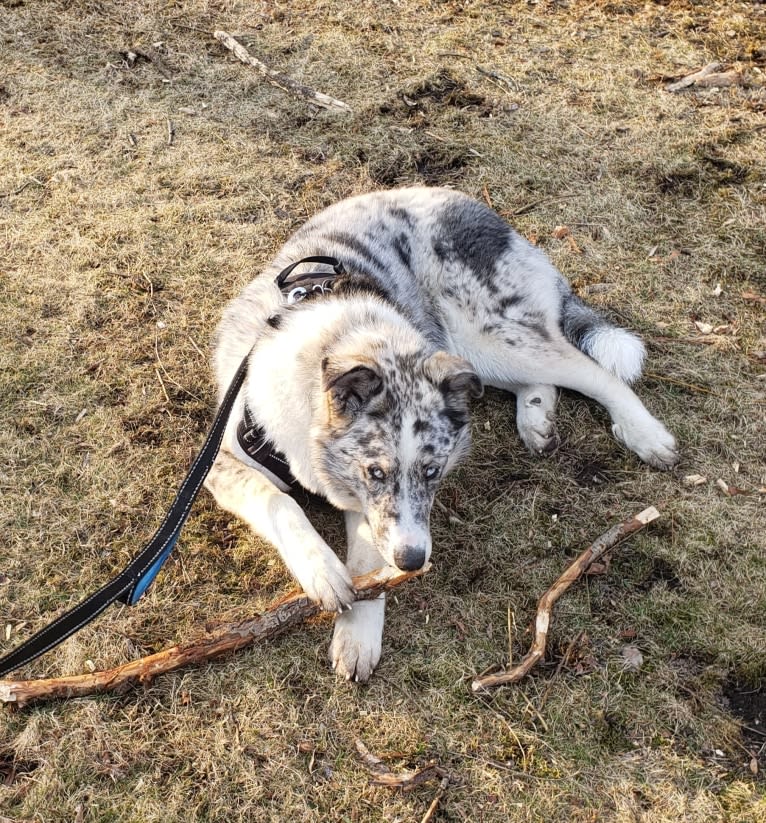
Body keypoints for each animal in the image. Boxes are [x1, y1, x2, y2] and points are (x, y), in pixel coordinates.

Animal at [204, 187, 680, 684]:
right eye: (376, 472)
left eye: (433, 472)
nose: (413, 561)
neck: (345, 342)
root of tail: (470, 204)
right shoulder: (222, 464)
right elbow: (279, 501)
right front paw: (323, 572)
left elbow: (367, 562)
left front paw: (357, 635)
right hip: (480, 354)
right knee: (543, 380)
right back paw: (537, 420)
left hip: (487, 338)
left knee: (591, 372)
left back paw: (645, 434)